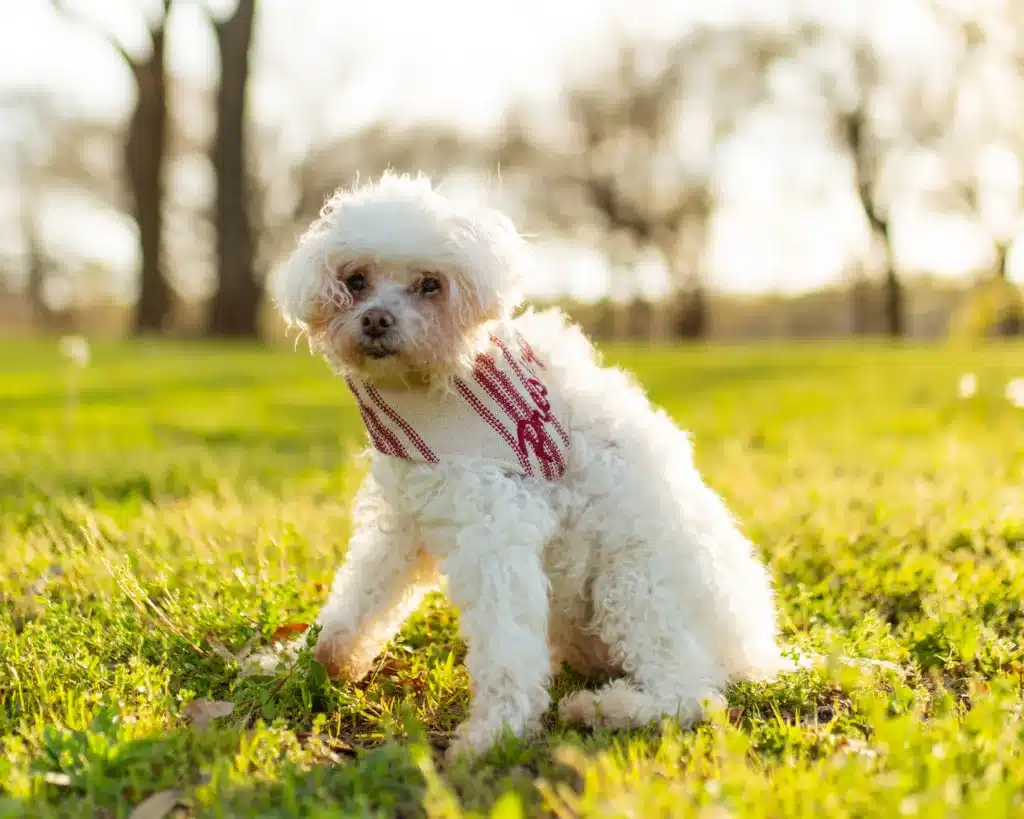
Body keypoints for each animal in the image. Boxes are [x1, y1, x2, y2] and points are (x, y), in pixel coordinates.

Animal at [274, 169, 790, 757]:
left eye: (431, 284)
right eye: (356, 279)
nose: (376, 320)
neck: (436, 391)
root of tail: (758, 653)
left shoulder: (496, 529)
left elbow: (504, 643)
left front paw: (495, 732)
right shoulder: (406, 518)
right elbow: (360, 598)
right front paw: (306, 661)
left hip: (633, 586)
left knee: (690, 693)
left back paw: (603, 708)